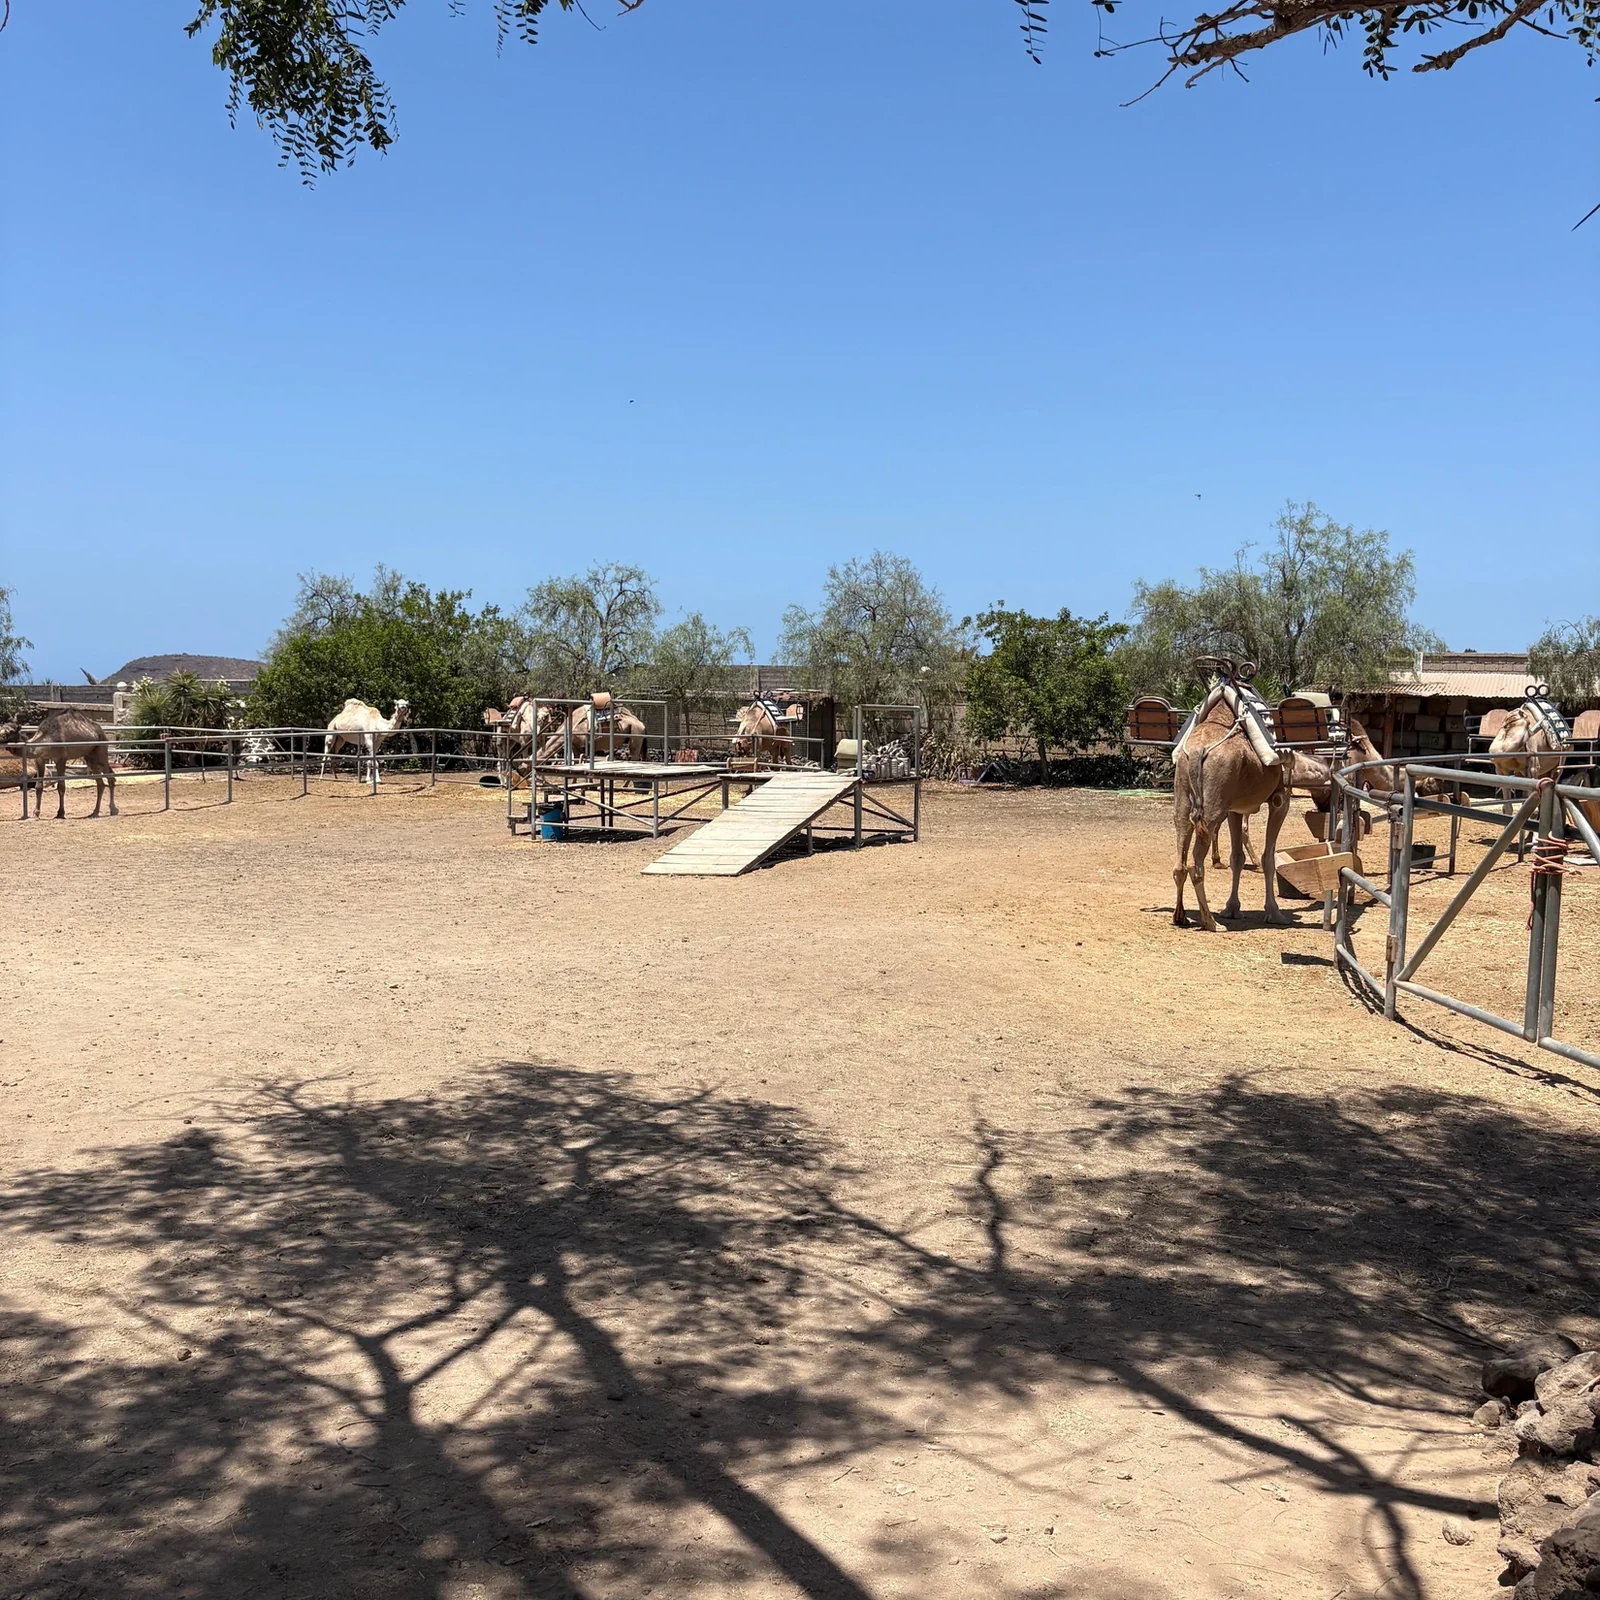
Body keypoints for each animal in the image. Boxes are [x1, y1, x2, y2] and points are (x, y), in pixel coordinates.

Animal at [1172, 685, 1293, 930]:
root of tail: (1198, 751)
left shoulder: (1234, 809)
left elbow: (1237, 857)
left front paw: (1232, 909)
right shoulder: (1280, 800)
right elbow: (1268, 858)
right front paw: (1275, 913)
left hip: (1183, 797)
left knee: (1180, 859)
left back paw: (1180, 916)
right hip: (1212, 808)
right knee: (1196, 864)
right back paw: (1210, 922)